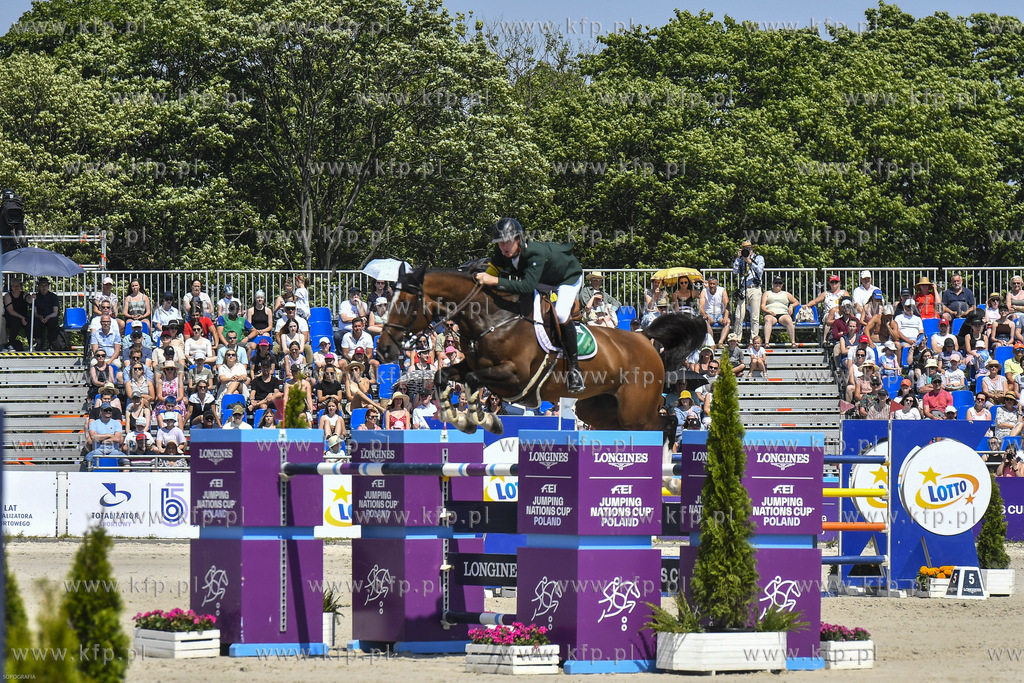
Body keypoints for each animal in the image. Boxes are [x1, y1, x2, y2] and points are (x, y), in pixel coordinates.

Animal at [375, 265, 707, 456]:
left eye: (406, 304)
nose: (384, 351)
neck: (493, 319)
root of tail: (644, 339)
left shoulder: (514, 378)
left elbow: (471, 381)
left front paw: (481, 419)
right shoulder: (473, 365)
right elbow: (444, 375)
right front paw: (458, 418)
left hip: (635, 411)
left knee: (666, 424)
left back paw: (666, 474)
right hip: (598, 409)